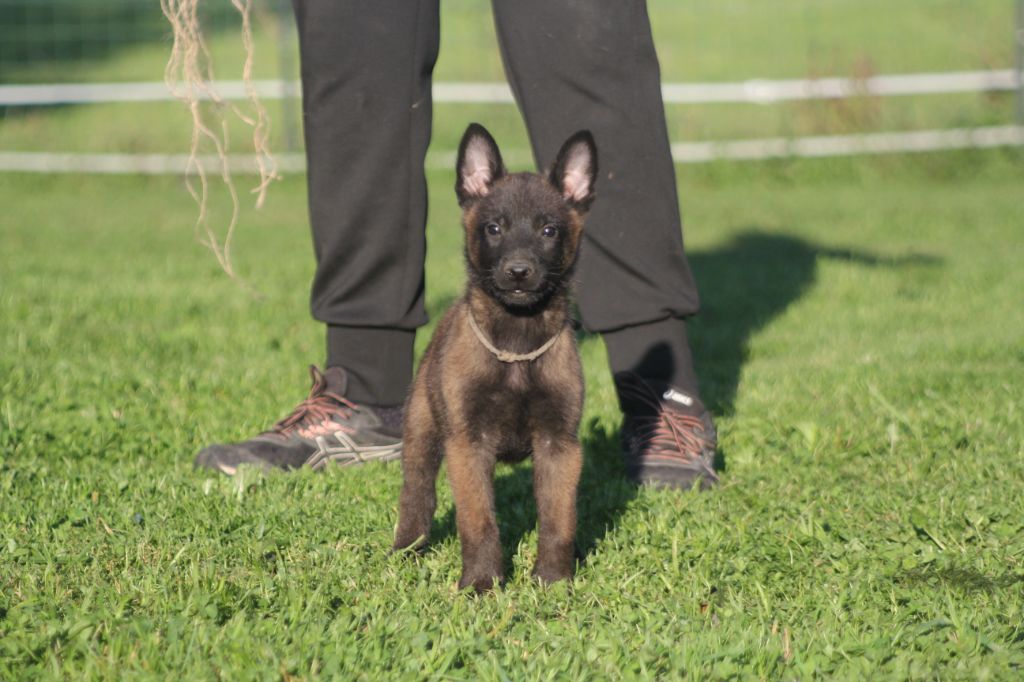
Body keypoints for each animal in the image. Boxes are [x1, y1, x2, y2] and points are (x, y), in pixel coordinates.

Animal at [393, 124, 598, 593]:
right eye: (494, 228)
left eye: (548, 230)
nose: (518, 272)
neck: (517, 347)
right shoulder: (468, 444)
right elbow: (478, 521)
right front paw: (482, 583)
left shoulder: (559, 446)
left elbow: (558, 520)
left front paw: (553, 581)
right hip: (422, 434)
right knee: (417, 494)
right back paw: (406, 550)